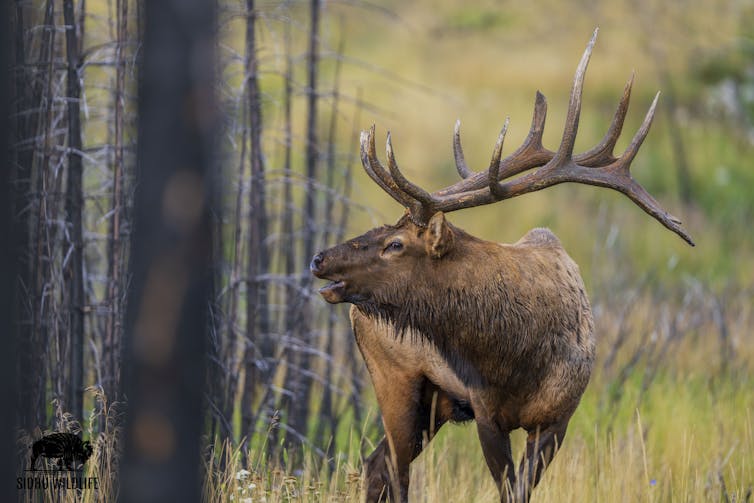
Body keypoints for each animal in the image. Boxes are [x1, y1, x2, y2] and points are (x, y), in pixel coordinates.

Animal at [310, 30, 693, 503]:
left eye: (394, 244)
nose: (320, 257)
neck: (517, 354)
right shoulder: (486, 413)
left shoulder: (557, 420)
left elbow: (521, 490)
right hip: (396, 381)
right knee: (390, 468)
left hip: (433, 404)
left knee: (378, 464)